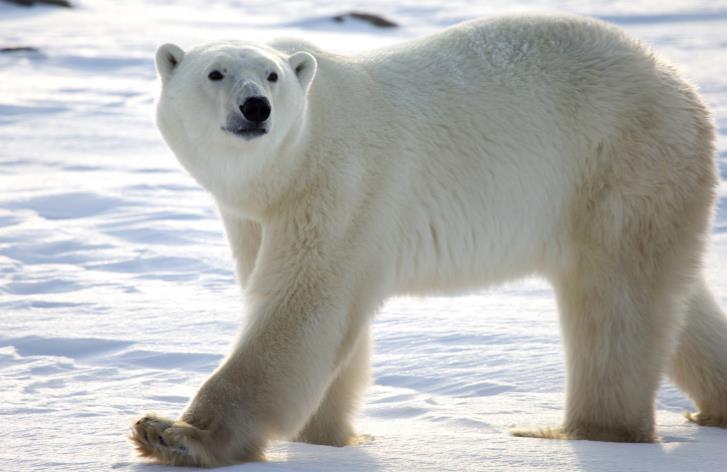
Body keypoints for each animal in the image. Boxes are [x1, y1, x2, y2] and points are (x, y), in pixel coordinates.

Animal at [132, 14, 727, 468]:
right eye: (215, 72)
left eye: (272, 74)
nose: (255, 107)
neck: (291, 163)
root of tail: (679, 84)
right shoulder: (256, 217)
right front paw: (325, 439)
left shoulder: (342, 182)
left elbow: (302, 306)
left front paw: (173, 433)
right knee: (677, 301)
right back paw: (710, 408)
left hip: (617, 164)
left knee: (614, 305)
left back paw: (584, 431)